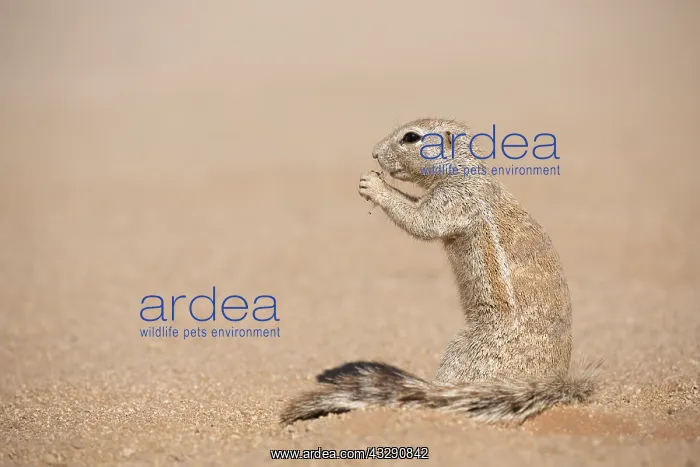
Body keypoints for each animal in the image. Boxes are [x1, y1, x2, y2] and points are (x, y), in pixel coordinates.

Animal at [280, 118, 599, 425]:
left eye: (411, 137)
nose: (374, 153)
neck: (464, 171)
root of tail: (553, 382)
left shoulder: (455, 201)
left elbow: (421, 220)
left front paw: (374, 185)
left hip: (468, 350)